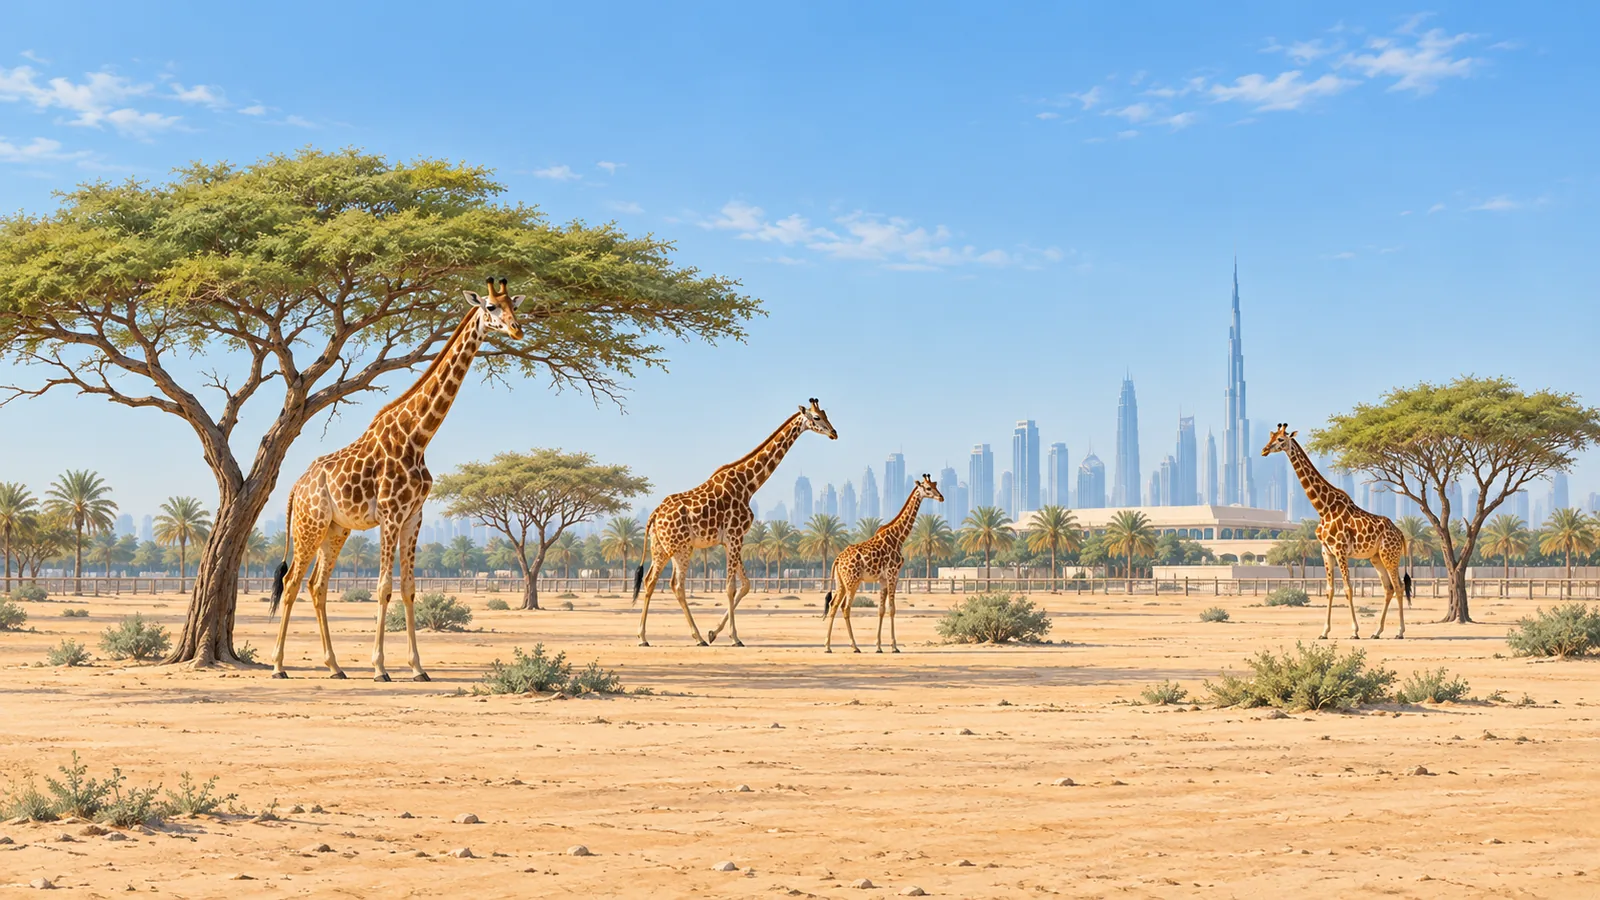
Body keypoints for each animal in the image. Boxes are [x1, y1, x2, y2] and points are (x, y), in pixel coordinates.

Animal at [268, 278, 526, 680]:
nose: (517, 328)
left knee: (317, 585)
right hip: (309, 526)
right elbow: (383, 588)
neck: (418, 437)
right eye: (491, 307)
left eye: (514, 305)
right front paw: (379, 667)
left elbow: (408, 588)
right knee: (292, 582)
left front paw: (418, 667)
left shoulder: (413, 517)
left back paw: (335, 666)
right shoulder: (390, 514)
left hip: (335, 529)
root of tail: (296, 487)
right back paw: (279, 665)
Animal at [632, 400, 838, 647]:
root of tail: (654, 515)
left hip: (662, 547)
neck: (748, 484)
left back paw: (646, 636)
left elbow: (746, 585)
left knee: (651, 581)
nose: (834, 433)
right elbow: (731, 587)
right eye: (816, 417)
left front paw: (714, 632)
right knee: (676, 585)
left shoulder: (731, 540)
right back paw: (692, 637)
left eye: (825, 414)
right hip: (680, 547)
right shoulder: (735, 535)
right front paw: (734, 637)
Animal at [824, 474, 942, 654]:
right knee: (845, 607)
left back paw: (828, 646)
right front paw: (894, 646)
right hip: (852, 582)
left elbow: (881, 609)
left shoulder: (883, 579)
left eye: (936, 485)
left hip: (841, 582)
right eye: (928, 488)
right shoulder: (893, 574)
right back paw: (854, 646)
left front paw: (879, 646)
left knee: (833, 605)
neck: (898, 537)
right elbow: (892, 609)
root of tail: (837, 559)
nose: (941, 497)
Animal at [1261, 424, 1407, 640]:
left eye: (1280, 439)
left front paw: (1354, 631)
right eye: (1270, 436)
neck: (1324, 508)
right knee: (1388, 588)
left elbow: (1347, 588)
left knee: (1399, 587)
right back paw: (1377, 632)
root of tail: (1401, 534)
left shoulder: (1340, 550)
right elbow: (1329, 589)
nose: (1264, 450)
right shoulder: (1326, 551)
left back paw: (1400, 632)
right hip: (1376, 557)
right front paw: (1324, 632)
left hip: (1390, 555)